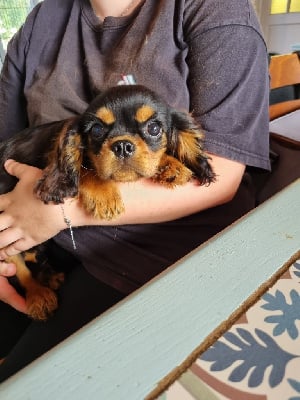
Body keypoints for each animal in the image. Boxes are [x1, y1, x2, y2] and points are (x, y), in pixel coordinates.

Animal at [0, 84, 216, 318]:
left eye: (154, 128)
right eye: (96, 130)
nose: (122, 146)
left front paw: (170, 165)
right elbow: (85, 169)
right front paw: (104, 196)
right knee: (20, 267)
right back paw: (38, 295)